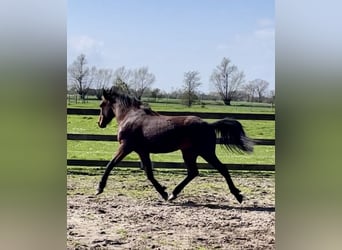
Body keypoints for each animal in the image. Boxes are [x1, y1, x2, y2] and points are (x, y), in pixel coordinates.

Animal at [96, 87, 254, 203]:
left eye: (101, 105)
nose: (100, 123)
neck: (130, 117)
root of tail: (209, 125)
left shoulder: (126, 147)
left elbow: (110, 164)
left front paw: (99, 188)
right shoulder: (142, 151)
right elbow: (148, 172)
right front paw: (164, 193)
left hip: (205, 152)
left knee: (222, 169)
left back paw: (238, 196)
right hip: (189, 152)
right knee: (193, 172)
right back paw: (173, 194)